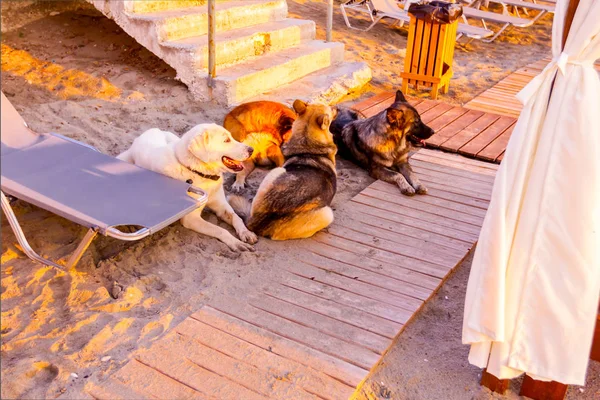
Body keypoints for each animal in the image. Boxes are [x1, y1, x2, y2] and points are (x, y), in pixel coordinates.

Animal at [118, 123, 258, 252]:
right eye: (226, 140)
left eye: (231, 137)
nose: (251, 149)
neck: (199, 173)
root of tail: (152, 130)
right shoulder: (191, 219)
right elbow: (220, 230)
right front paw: (235, 242)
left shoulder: (221, 206)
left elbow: (236, 217)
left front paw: (246, 233)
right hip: (124, 158)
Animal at [229, 101, 340, 241]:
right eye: (329, 109)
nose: (338, 108)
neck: (307, 141)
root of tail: (255, 223)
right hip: (327, 214)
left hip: (275, 173)